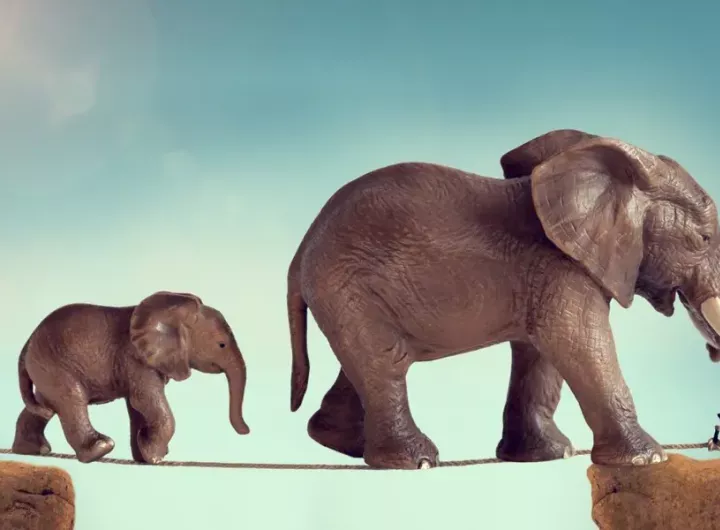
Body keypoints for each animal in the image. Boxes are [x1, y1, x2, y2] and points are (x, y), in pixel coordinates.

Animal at [11, 288, 250, 462]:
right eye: (221, 345)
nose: (246, 432)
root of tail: (28, 343)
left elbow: (137, 407)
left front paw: (144, 454)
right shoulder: (135, 359)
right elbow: (145, 401)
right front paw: (154, 454)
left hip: (45, 367)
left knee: (46, 405)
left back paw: (34, 450)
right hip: (54, 364)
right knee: (71, 400)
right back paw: (100, 448)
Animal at [286, 130, 720, 468]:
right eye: (702, 239)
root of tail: (302, 249)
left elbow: (540, 356)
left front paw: (549, 455)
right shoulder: (562, 268)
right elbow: (578, 346)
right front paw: (649, 458)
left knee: (365, 362)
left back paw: (341, 443)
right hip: (345, 283)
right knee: (385, 361)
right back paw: (417, 461)